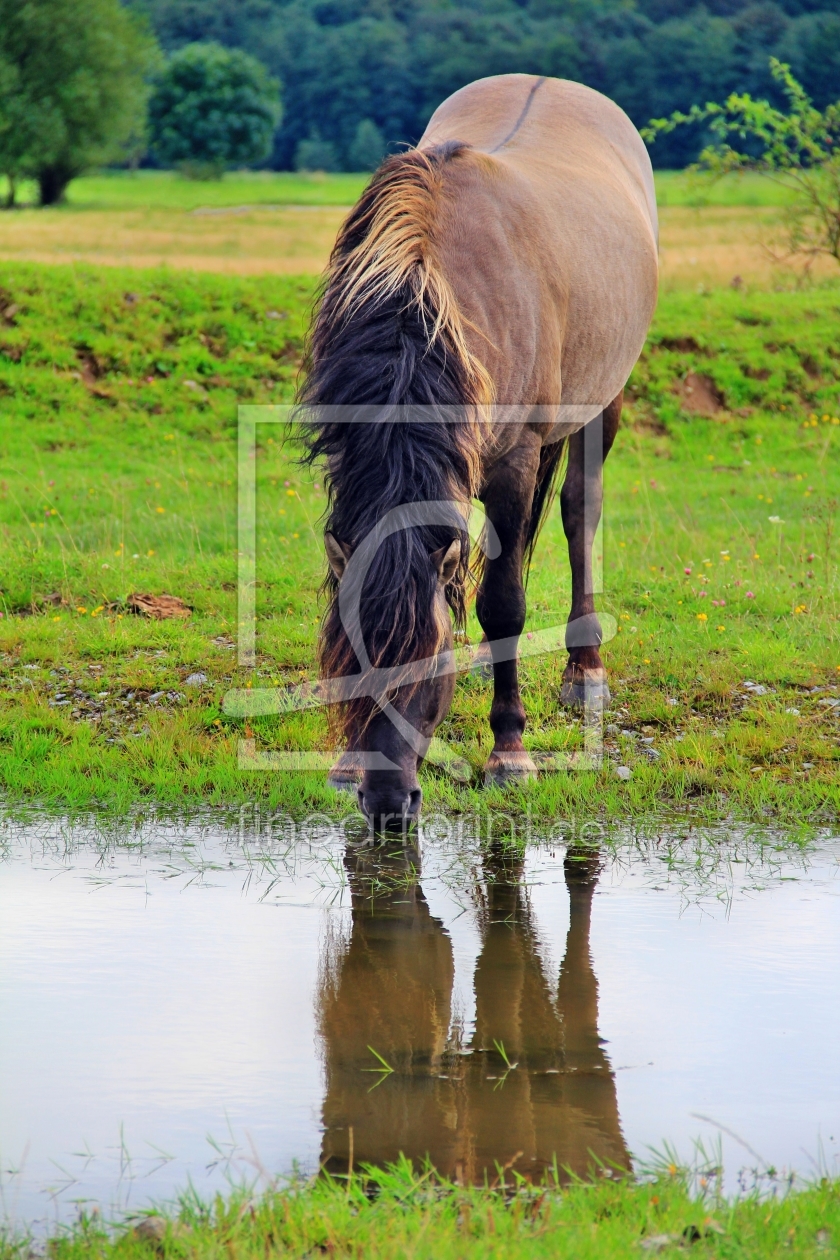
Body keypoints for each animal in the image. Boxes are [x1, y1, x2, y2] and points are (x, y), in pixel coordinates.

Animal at [298, 73, 659, 831]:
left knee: (579, 515)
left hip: (600, 405)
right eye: (353, 664)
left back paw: (585, 672)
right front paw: (344, 764)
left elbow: (503, 606)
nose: (389, 806)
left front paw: (510, 754)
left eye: (426, 666)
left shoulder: (515, 459)